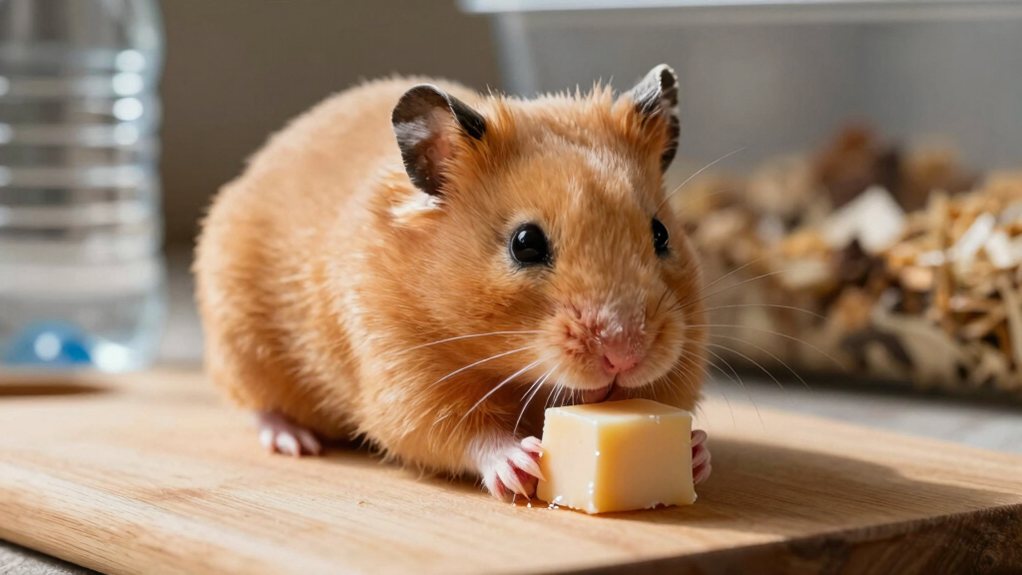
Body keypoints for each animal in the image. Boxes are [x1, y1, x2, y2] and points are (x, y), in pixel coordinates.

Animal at [194, 64, 711, 500]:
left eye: (661, 234)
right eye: (525, 243)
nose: (625, 354)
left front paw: (695, 451)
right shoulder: (403, 373)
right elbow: (455, 431)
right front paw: (522, 464)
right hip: (240, 341)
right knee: (258, 404)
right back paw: (294, 441)